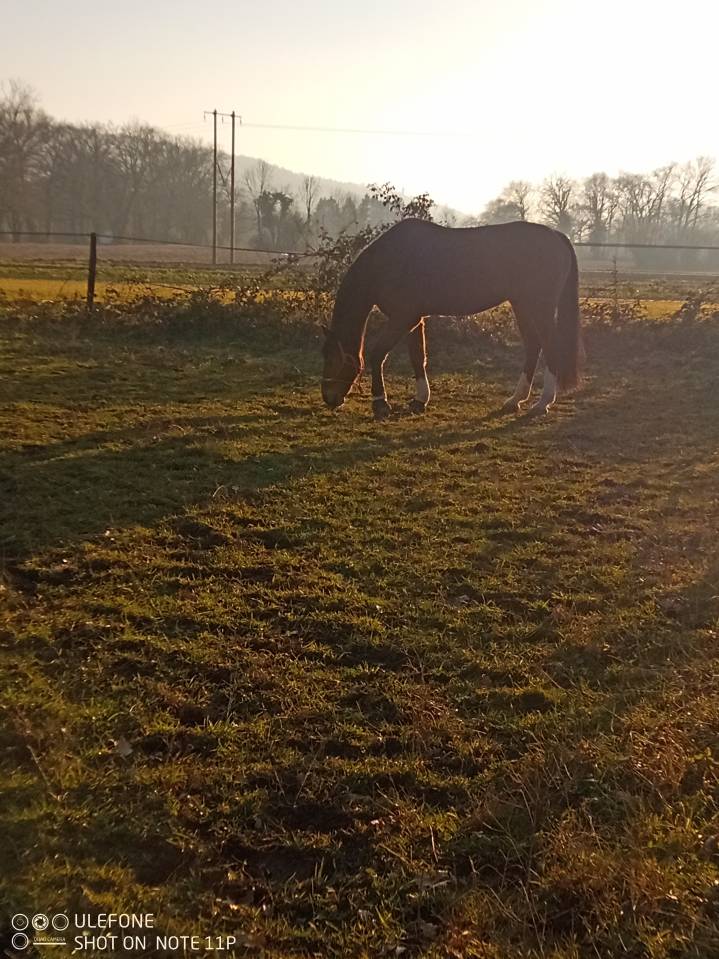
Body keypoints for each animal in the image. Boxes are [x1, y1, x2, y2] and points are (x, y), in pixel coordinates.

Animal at [321, 218, 581, 419]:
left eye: (333, 358)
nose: (329, 398)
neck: (387, 263)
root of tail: (557, 235)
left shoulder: (403, 318)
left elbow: (378, 354)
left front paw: (380, 403)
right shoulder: (414, 319)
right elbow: (418, 357)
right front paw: (420, 400)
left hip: (540, 306)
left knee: (550, 346)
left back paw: (542, 403)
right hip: (522, 305)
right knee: (533, 346)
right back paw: (515, 399)